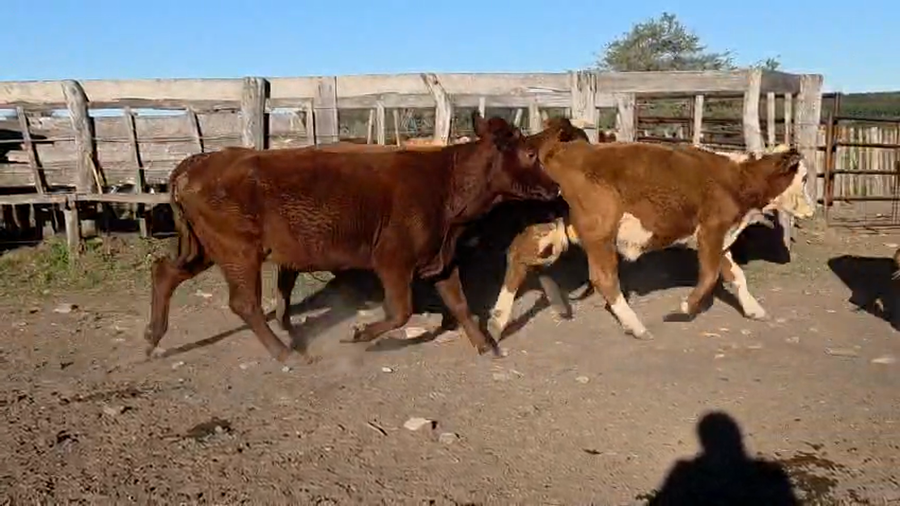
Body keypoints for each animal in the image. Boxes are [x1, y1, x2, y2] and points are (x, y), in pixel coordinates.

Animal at [144, 113, 560, 363]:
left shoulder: (440, 259)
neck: (446, 184)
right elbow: (400, 311)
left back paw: (152, 337)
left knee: (165, 272)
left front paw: (485, 344)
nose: (555, 187)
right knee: (244, 303)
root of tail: (200, 161)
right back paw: (286, 355)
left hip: (205, 248)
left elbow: (459, 304)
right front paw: (360, 334)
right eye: (530, 154)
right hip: (238, 250)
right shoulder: (392, 261)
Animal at [526, 135, 815, 339]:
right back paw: (635, 326)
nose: (812, 210)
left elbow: (736, 276)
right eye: (803, 178)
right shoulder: (710, 232)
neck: (736, 178)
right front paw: (685, 308)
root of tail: (563, 149)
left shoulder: (722, 238)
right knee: (604, 278)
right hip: (601, 233)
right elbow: (709, 276)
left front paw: (754, 309)